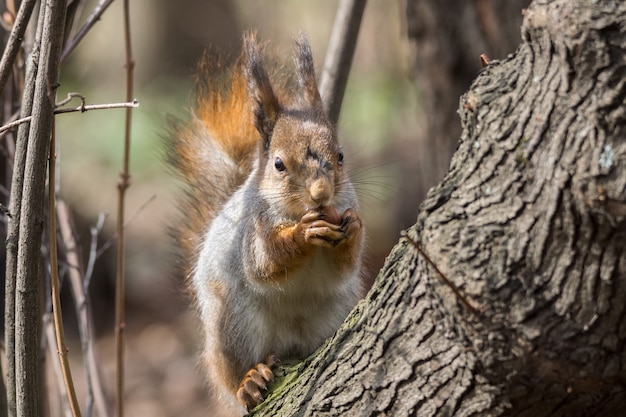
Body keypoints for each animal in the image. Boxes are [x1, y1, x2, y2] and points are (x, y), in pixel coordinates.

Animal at [166, 32, 364, 412]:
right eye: (278, 165)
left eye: (341, 156)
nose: (321, 194)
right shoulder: (252, 231)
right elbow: (265, 264)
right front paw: (303, 234)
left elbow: (342, 269)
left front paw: (352, 228)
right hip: (233, 325)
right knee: (229, 376)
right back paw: (249, 381)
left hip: (334, 314)